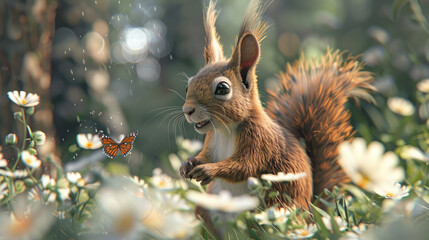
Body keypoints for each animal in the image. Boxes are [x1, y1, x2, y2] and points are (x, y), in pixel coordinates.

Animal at [179, 0, 372, 232]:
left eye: (222, 88)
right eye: (188, 85)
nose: (187, 110)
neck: (226, 129)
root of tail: (310, 215)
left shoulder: (260, 142)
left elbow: (243, 166)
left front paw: (208, 170)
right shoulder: (212, 140)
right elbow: (206, 155)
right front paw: (188, 163)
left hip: (272, 208)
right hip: (207, 209)